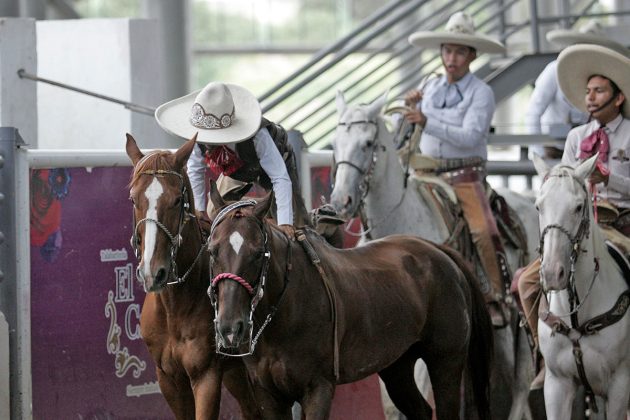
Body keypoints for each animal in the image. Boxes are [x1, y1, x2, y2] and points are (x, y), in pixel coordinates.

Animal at [127, 135, 260, 420]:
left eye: (178, 199)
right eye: (133, 199)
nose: (153, 272)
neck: (174, 306)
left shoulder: (206, 375)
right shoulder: (168, 378)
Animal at [207, 188, 494, 420]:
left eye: (258, 253)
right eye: (212, 250)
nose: (230, 327)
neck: (287, 311)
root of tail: (439, 252)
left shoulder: (318, 387)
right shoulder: (268, 395)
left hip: (446, 361)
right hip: (397, 367)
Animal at [330, 92, 540, 420]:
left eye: (367, 143)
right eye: (334, 143)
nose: (341, 201)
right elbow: (390, 405)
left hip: (520, 312)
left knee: (521, 382)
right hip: (501, 325)